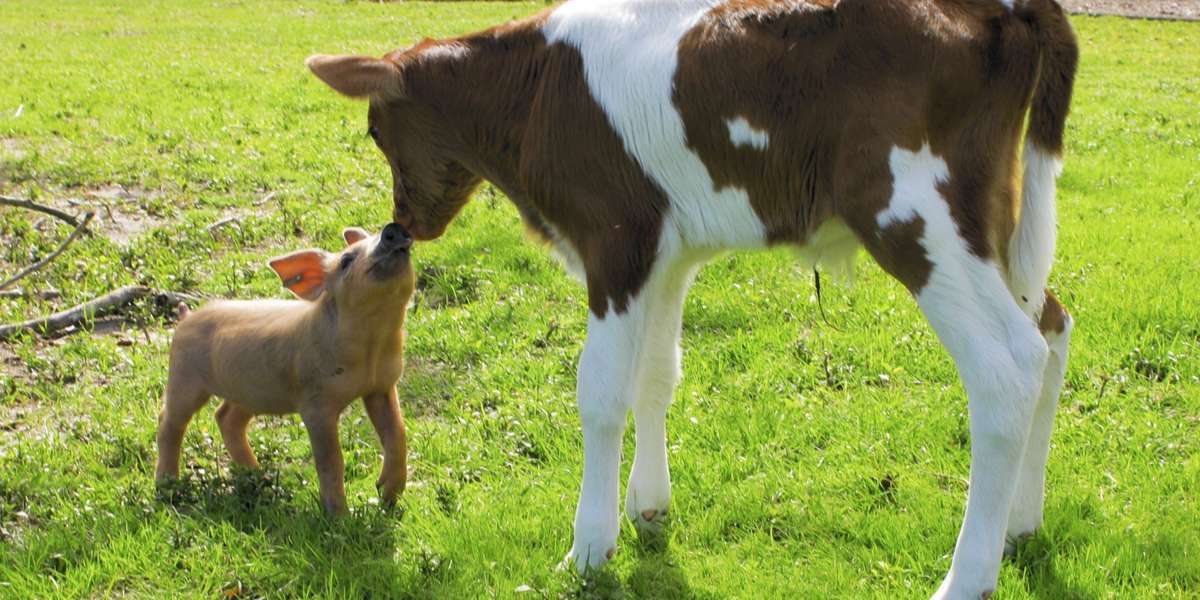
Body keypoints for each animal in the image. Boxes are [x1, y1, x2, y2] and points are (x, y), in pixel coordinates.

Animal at [154, 223, 415, 515]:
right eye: (346, 261)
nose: (392, 229)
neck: (372, 343)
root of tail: (186, 317)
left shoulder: (382, 386)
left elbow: (397, 435)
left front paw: (388, 499)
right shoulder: (315, 404)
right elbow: (330, 460)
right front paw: (339, 516)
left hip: (248, 391)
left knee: (225, 417)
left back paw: (260, 479)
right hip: (183, 375)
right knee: (169, 421)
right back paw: (167, 487)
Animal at [306, 0, 1078, 597]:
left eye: (374, 129)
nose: (403, 223)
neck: (536, 89)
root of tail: (1007, 6)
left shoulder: (614, 241)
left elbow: (601, 390)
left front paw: (589, 545)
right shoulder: (666, 253)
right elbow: (656, 375)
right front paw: (648, 508)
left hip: (914, 213)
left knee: (1008, 363)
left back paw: (969, 575)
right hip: (994, 218)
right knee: (1051, 327)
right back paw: (1022, 522)